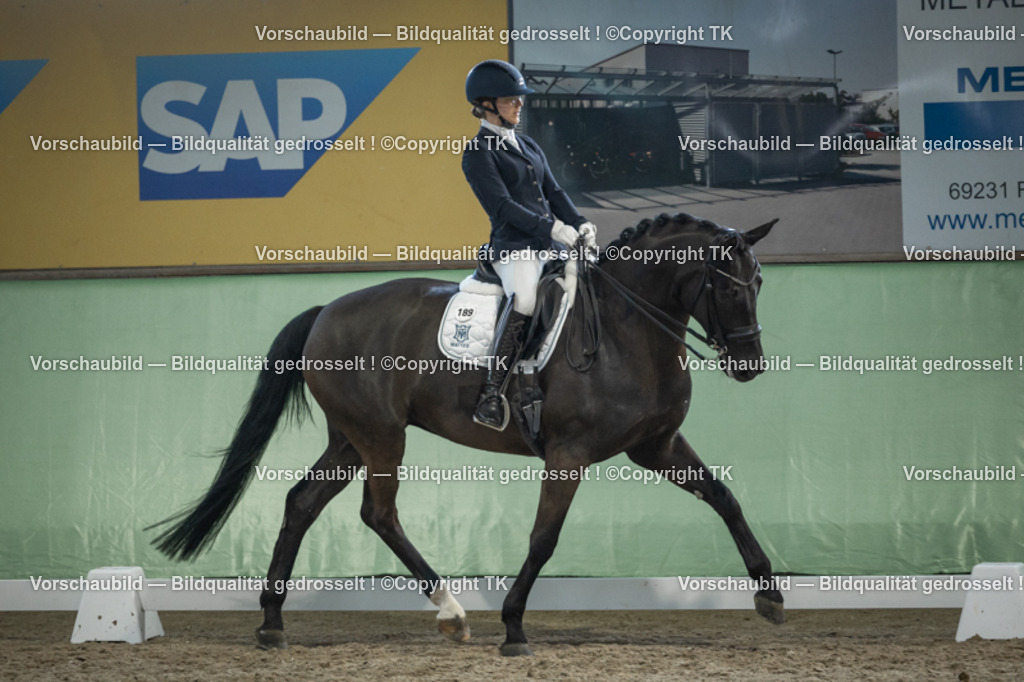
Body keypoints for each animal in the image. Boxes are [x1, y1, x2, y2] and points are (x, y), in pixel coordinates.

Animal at [149, 212, 782, 656]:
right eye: (729, 288)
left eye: (758, 282)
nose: (750, 365)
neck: (625, 331)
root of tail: (325, 310)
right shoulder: (569, 454)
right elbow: (543, 539)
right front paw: (514, 626)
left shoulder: (656, 446)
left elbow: (725, 497)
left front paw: (769, 594)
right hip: (381, 437)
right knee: (379, 513)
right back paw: (451, 612)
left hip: (350, 439)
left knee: (301, 503)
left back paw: (272, 623)